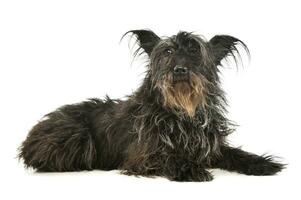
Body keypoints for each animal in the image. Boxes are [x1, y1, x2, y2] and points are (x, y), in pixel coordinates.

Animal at [18, 29, 284, 181]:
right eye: (167, 52)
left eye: (195, 52)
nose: (180, 70)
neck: (181, 112)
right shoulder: (141, 156)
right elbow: (167, 157)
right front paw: (190, 169)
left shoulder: (210, 147)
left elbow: (234, 153)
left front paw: (261, 163)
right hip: (77, 136)